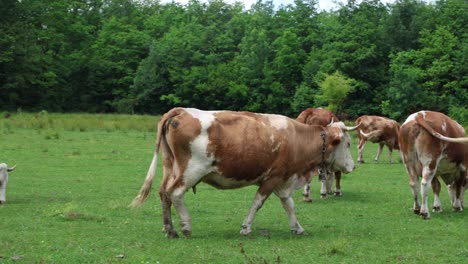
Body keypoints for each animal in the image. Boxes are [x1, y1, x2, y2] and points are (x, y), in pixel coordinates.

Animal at [130, 107, 356, 237]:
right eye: (348, 143)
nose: (352, 166)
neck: (296, 138)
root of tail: (180, 111)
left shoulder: (283, 180)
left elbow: (289, 205)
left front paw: (297, 228)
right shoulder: (272, 178)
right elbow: (257, 203)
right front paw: (246, 227)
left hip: (171, 166)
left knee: (163, 193)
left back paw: (169, 228)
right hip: (191, 170)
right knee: (175, 193)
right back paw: (185, 226)